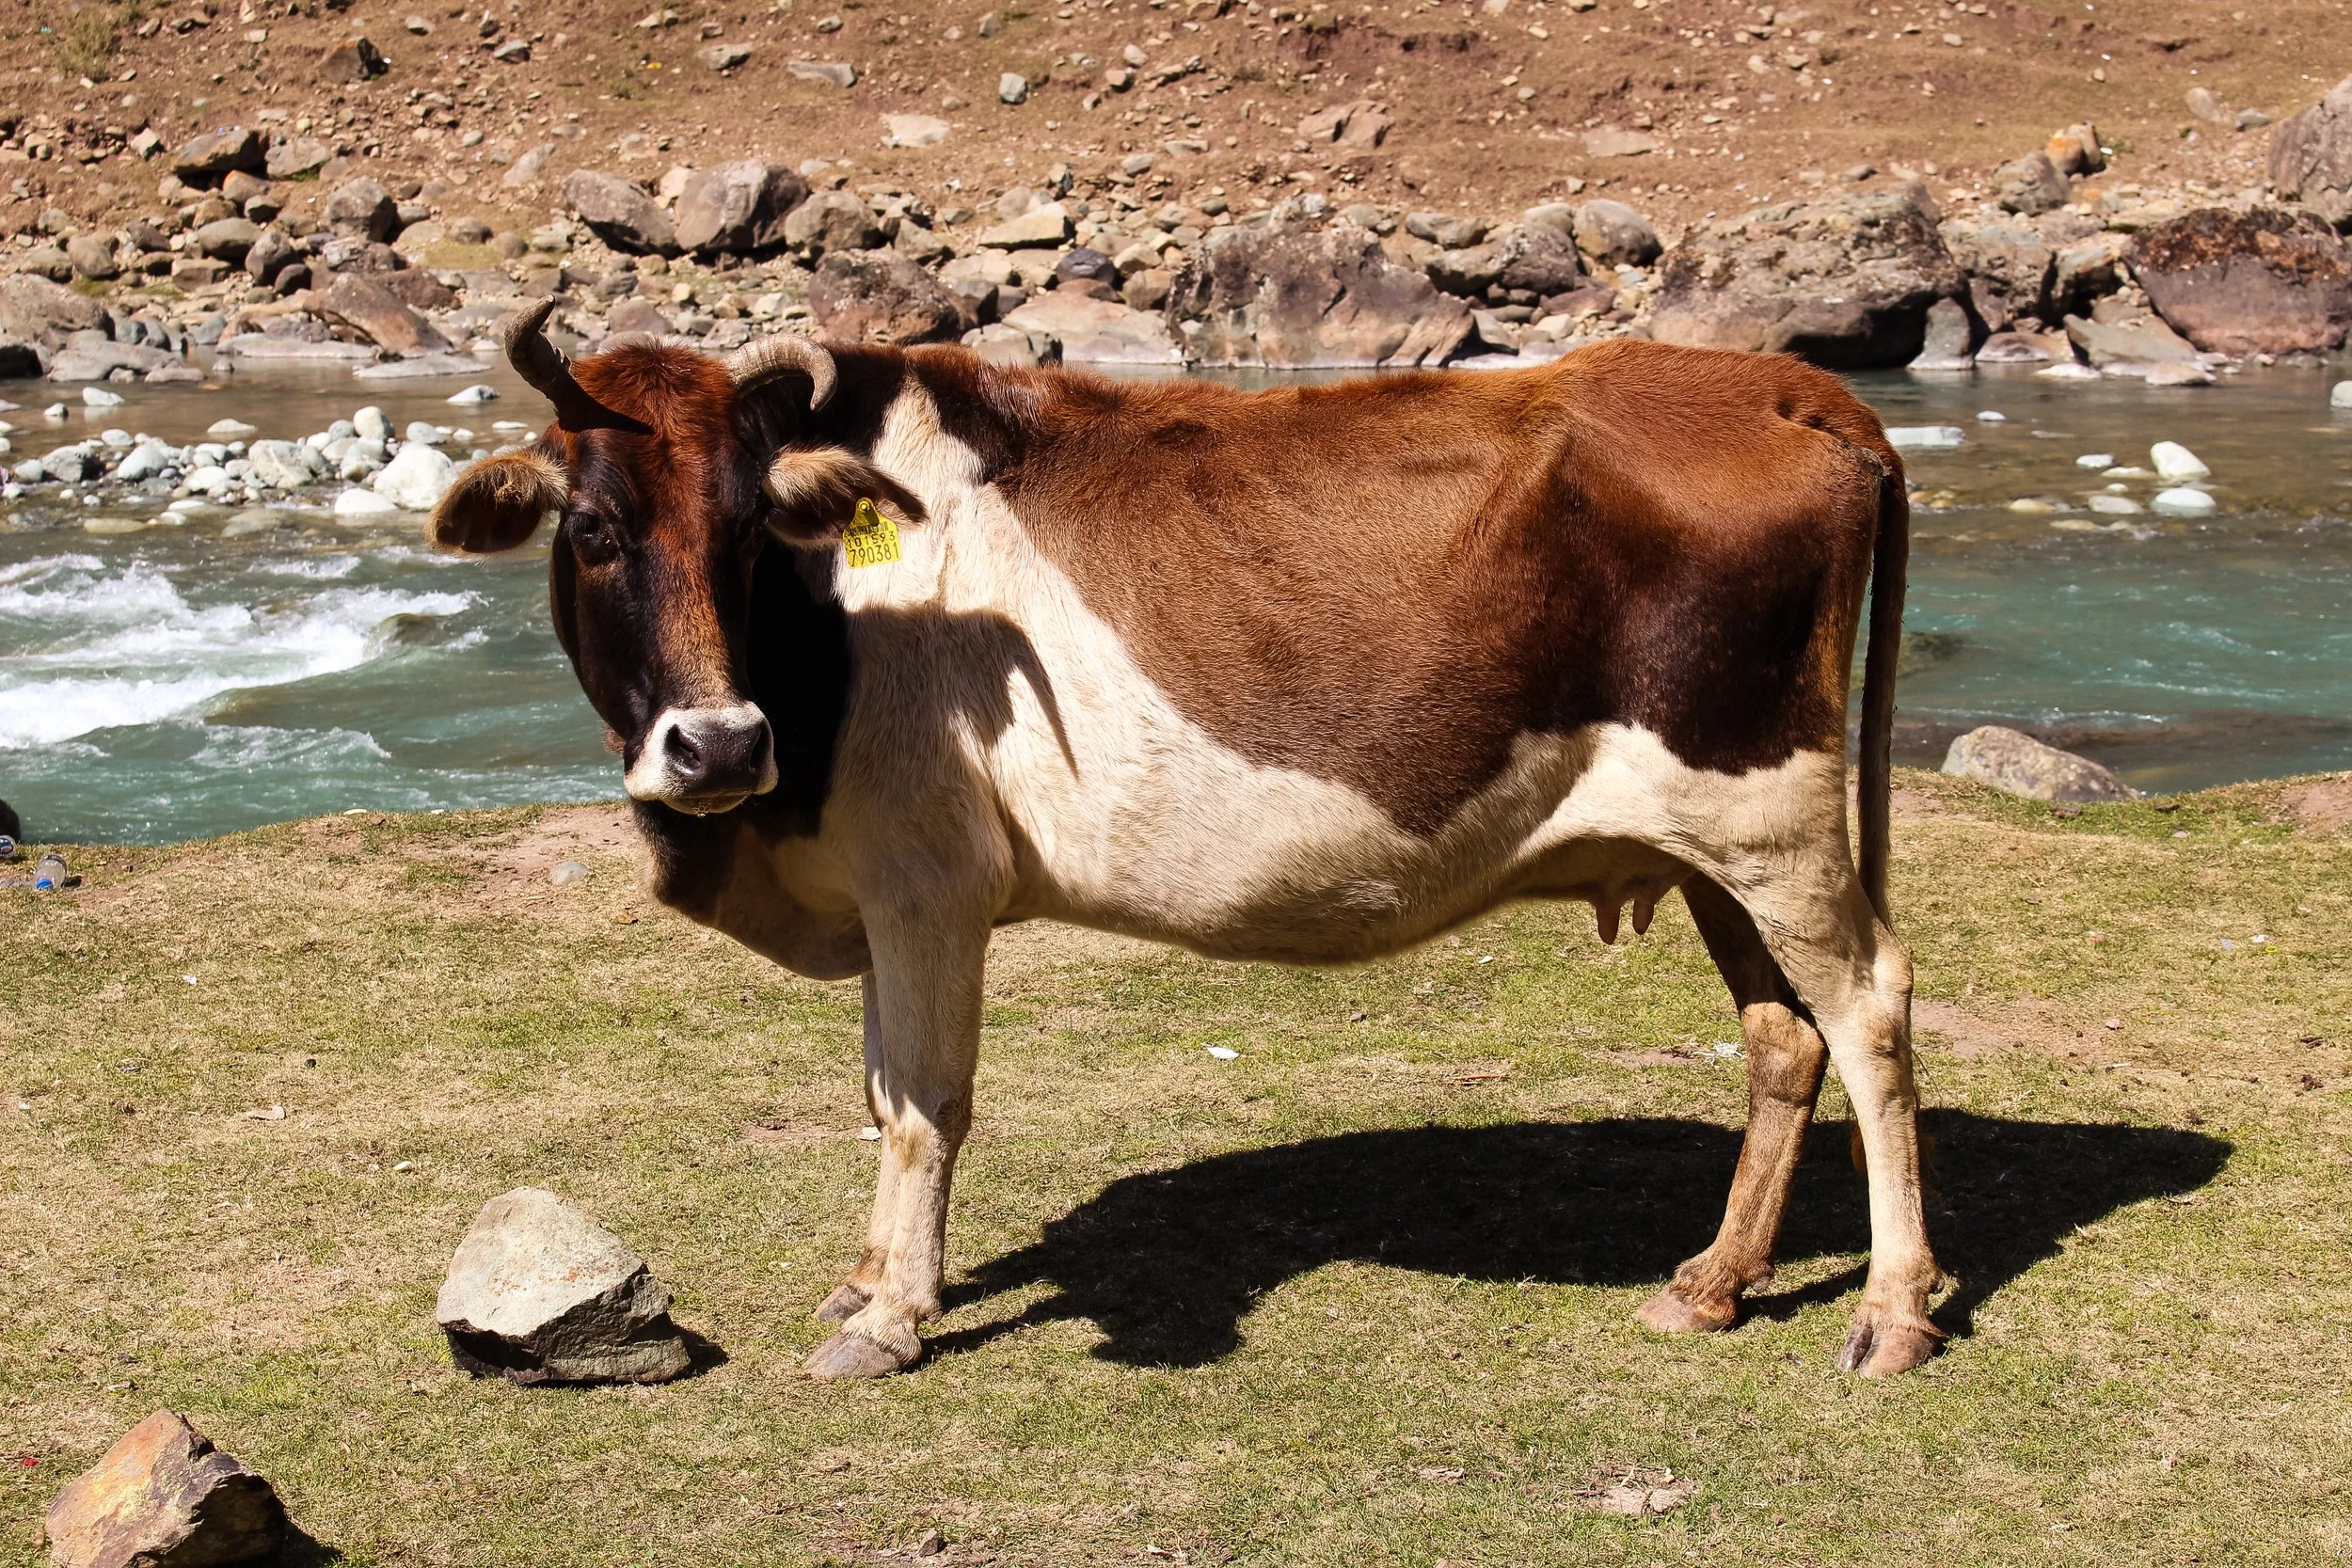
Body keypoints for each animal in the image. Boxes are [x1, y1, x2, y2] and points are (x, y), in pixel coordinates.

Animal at [430, 299, 1941, 1382]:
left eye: (751, 530)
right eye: (594, 528)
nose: (720, 745)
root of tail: (1790, 385)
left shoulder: (928, 886)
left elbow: (923, 1105)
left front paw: (891, 1316)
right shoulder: (875, 886)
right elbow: (877, 1087)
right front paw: (868, 1275)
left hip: (1773, 814)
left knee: (1868, 1008)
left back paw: (1891, 1313)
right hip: (1713, 845)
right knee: (1783, 1036)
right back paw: (1714, 1282)